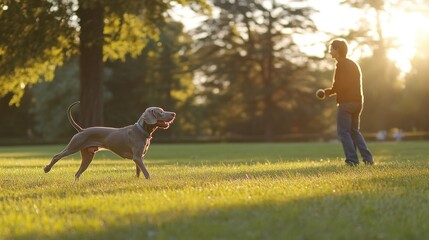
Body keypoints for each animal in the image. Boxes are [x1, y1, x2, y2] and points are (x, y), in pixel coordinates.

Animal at [43, 101, 176, 180]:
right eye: (161, 112)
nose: (173, 114)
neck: (142, 131)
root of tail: (82, 130)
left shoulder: (140, 157)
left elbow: (139, 171)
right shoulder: (137, 157)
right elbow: (146, 172)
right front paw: (149, 180)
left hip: (88, 156)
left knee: (77, 173)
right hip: (73, 147)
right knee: (56, 156)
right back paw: (47, 168)